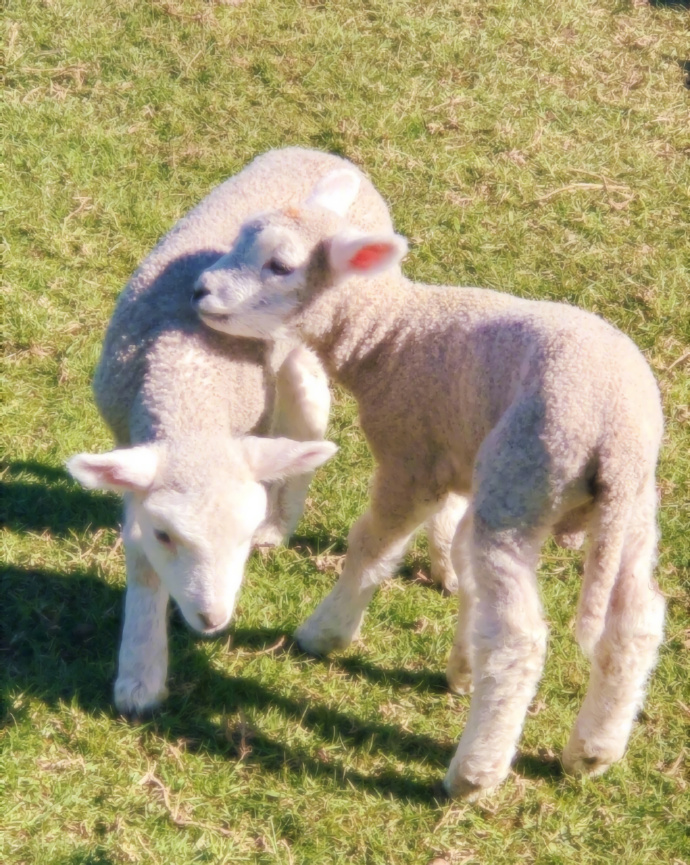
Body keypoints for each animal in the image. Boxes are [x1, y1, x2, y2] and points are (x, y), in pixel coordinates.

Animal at [68, 148, 398, 716]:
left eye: (241, 533)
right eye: (165, 535)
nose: (212, 619)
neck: (189, 397)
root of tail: (325, 154)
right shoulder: (131, 445)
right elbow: (141, 557)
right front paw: (140, 671)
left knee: (308, 409)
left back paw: (284, 520)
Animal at [191, 172, 664, 800]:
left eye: (280, 266)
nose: (200, 289)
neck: (392, 333)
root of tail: (617, 437)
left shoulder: (410, 459)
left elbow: (373, 545)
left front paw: (328, 632)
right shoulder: (459, 456)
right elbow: (457, 553)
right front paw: (461, 659)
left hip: (520, 483)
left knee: (518, 641)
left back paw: (475, 772)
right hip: (629, 513)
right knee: (635, 622)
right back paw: (593, 749)